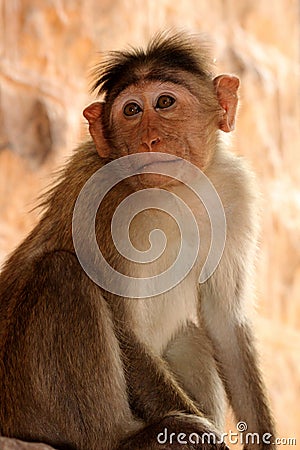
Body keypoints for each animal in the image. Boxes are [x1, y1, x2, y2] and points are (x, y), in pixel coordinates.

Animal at [0, 32, 276, 450]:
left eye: (164, 103)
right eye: (131, 110)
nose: (149, 139)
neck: (178, 192)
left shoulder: (236, 192)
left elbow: (225, 323)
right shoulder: (105, 198)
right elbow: (121, 323)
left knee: (191, 337)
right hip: (24, 401)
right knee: (61, 274)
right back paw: (122, 437)